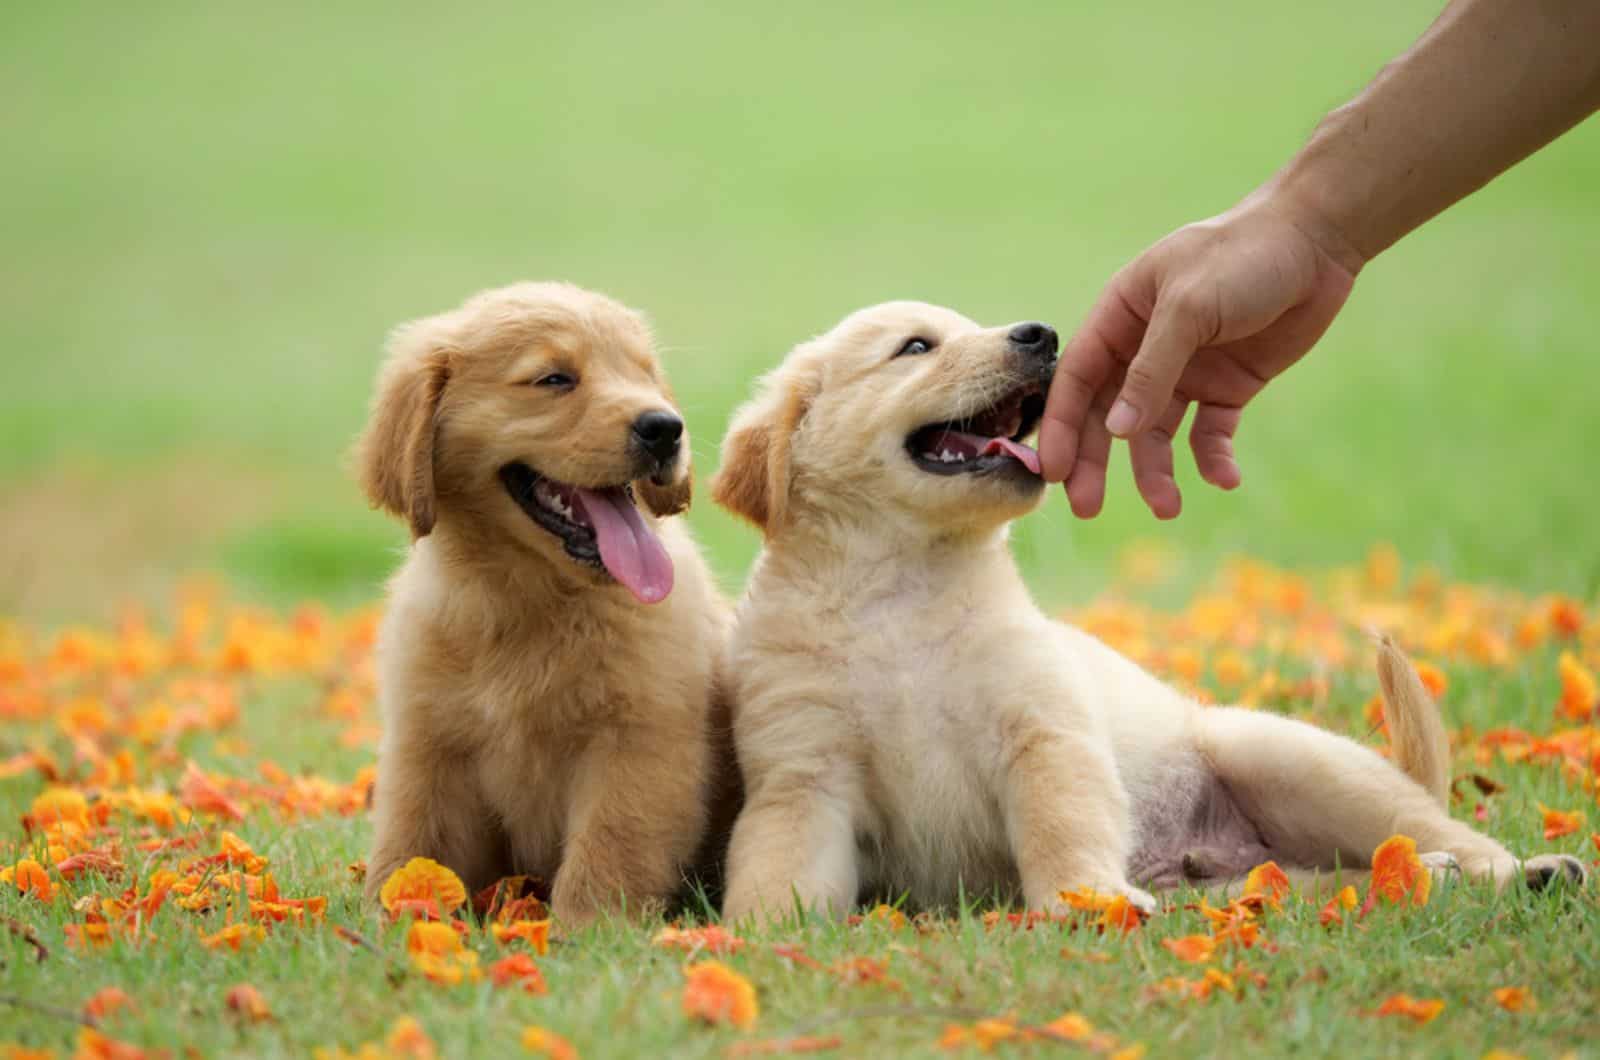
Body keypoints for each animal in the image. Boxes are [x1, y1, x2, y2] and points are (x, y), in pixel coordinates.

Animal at [356, 281, 732, 928]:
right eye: (554, 379)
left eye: (644, 374)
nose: (666, 428)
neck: (531, 597)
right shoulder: (427, 745)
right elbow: (412, 844)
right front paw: (394, 919)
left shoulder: (638, 743)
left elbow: (610, 847)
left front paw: (591, 931)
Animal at [716, 299, 1587, 922]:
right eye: (916, 347)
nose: (1043, 334)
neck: (898, 587)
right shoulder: (803, 775)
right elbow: (775, 869)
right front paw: (754, 936)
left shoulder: (1047, 736)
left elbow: (1062, 827)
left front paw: (1087, 902)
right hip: (1240, 878)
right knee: (1312, 881)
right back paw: (1421, 880)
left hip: (1291, 760)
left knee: (1445, 833)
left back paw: (1526, 871)